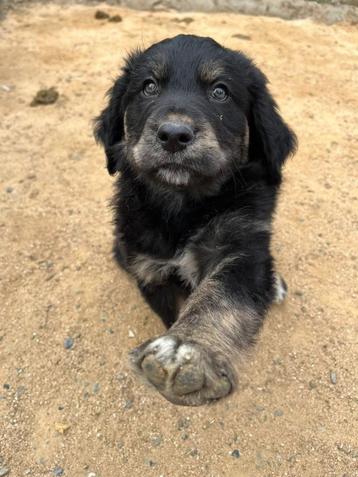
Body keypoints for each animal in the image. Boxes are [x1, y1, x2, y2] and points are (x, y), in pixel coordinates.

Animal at [94, 33, 296, 406]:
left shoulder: (242, 246)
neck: (184, 205)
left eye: (220, 91)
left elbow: (221, 296)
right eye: (148, 87)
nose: (174, 135)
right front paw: (178, 341)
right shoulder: (152, 268)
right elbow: (175, 306)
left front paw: (189, 347)